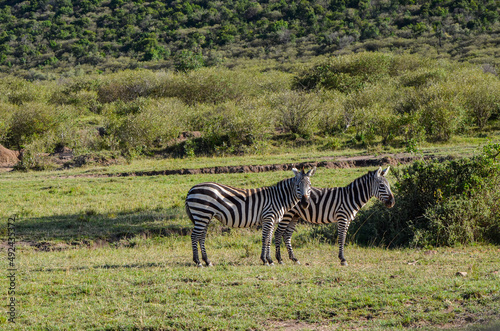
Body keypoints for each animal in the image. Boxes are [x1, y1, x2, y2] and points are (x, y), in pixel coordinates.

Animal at [186, 169, 314, 268]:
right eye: (297, 186)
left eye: (310, 186)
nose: (305, 203)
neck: (279, 198)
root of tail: (191, 189)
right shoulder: (268, 218)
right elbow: (265, 239)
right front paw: (266, 260)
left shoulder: (272, 221)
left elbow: (269, 239)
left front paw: (269, 259)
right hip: (202, 213)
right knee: (194, 236)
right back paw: (198, 262)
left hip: (205, 216)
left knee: (201, 237)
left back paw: (207, 261)